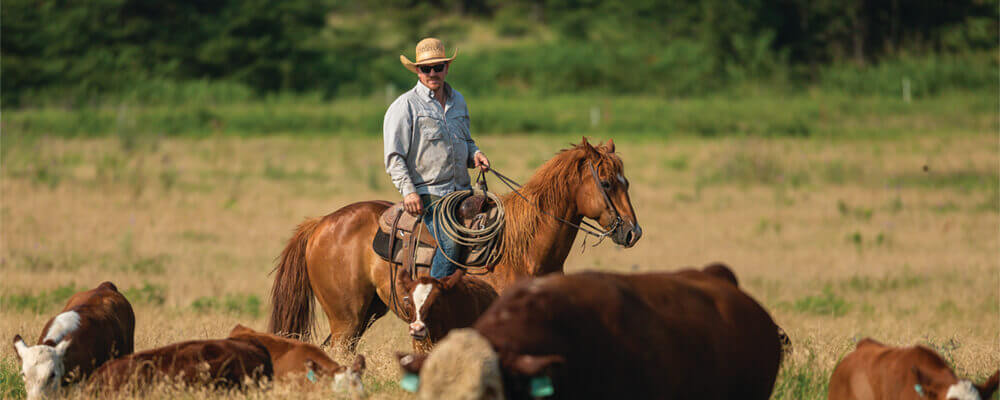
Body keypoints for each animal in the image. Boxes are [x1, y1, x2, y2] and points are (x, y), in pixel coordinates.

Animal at [268, 138, 640, 350]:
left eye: (627, 181)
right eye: (606, 182)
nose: (633, 232)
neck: (523, 250)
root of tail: (321, 223)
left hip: (364, 314)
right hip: (346, 318)